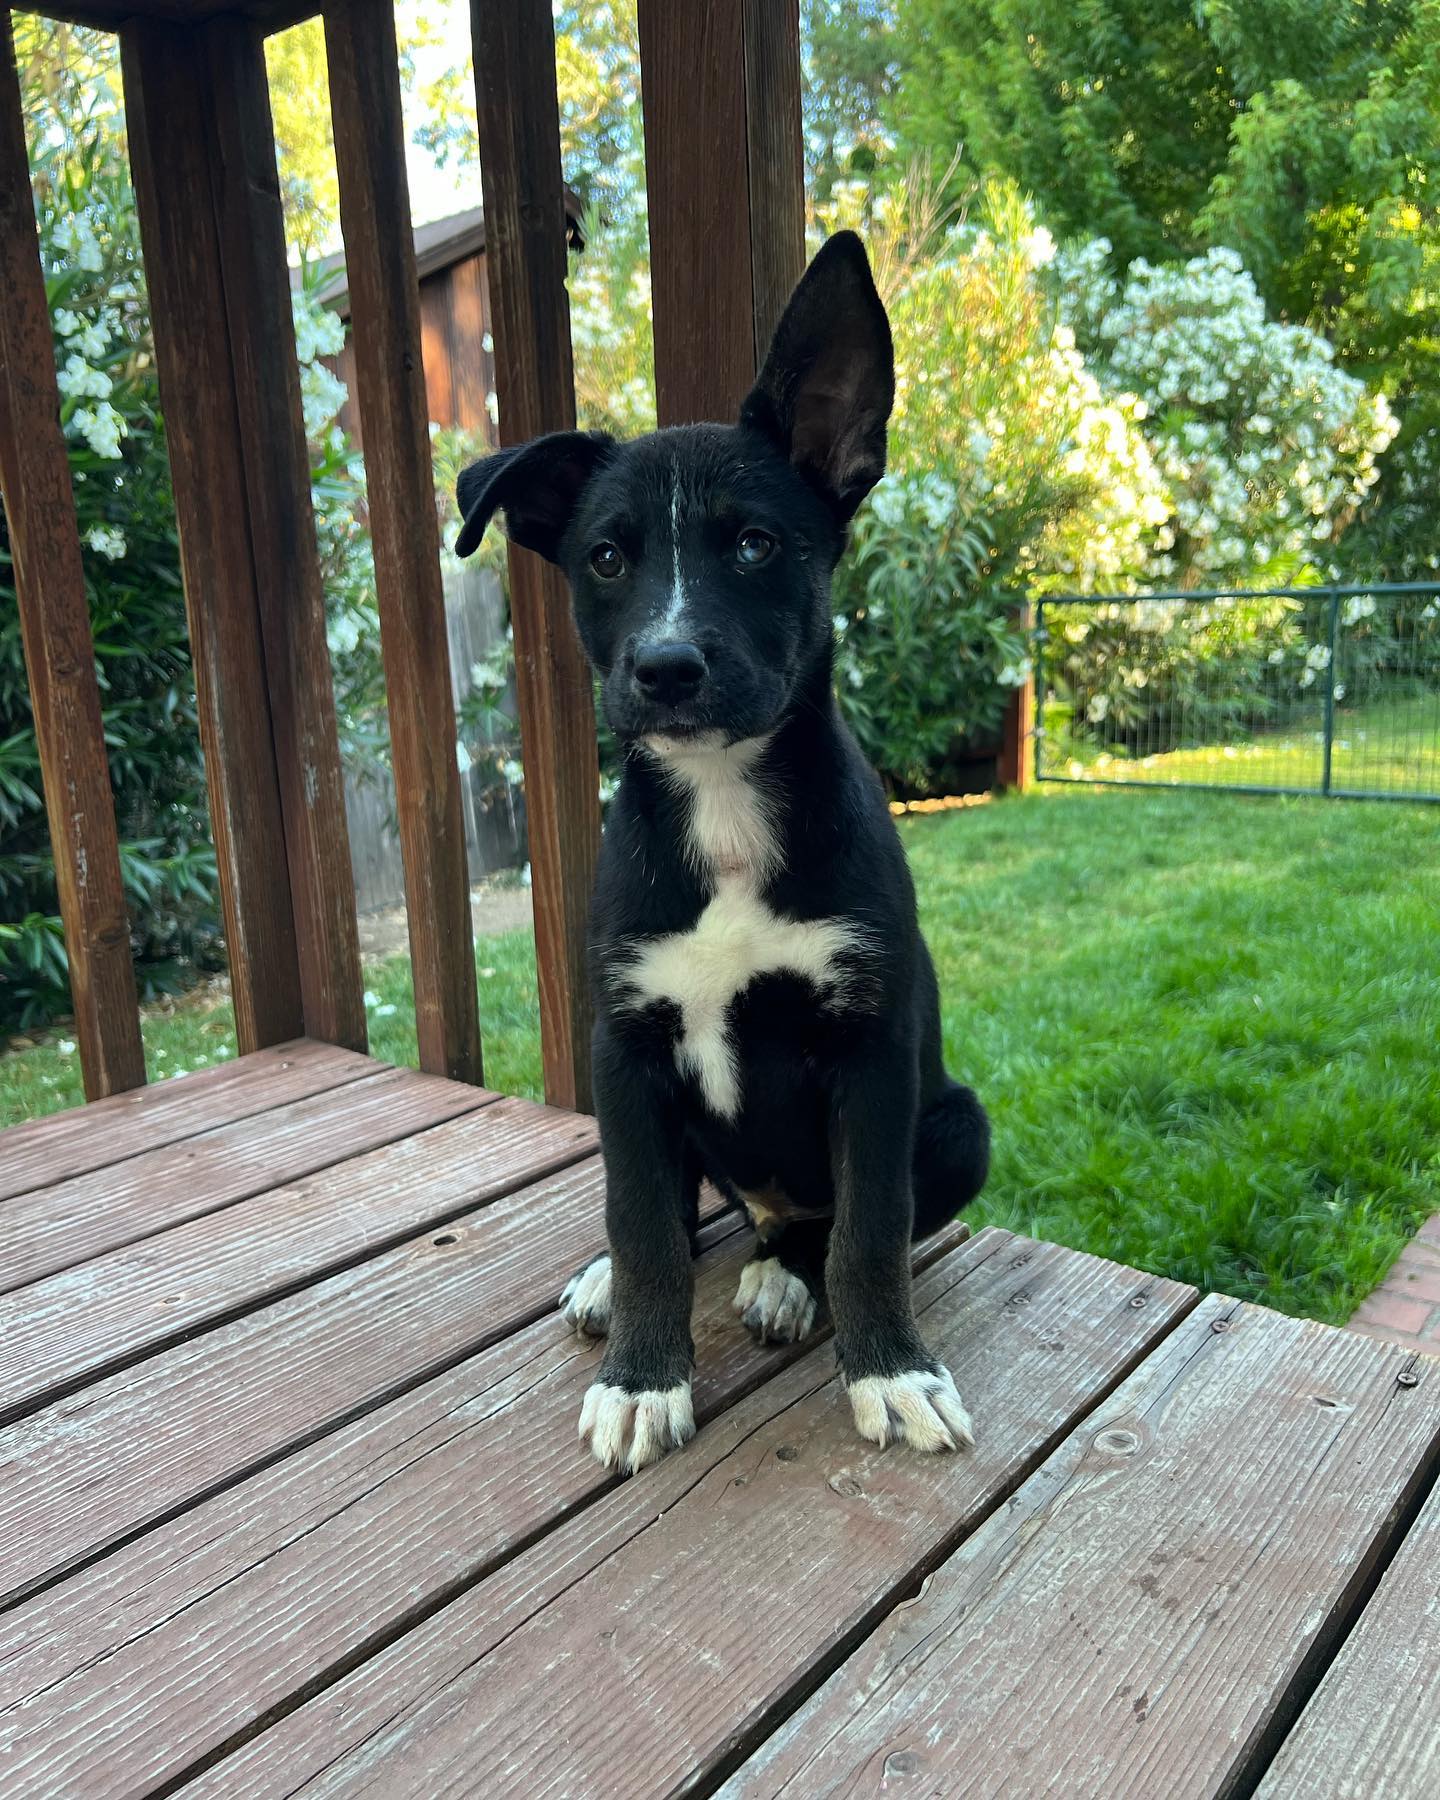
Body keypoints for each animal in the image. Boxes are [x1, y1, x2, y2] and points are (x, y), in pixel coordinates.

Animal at [455, 235, 986, 1476]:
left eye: (755, 543)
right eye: (606, 558)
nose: (666, 668)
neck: (725, 807)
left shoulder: (874, 1052)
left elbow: (870, 1233)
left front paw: (890, 1370)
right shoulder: (625, 1049)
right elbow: (645, 1221)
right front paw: (644, 1377)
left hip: (958, 1123)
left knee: (817, 1228)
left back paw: (785, 1280)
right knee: (677, 1210)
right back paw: (613, 1281)